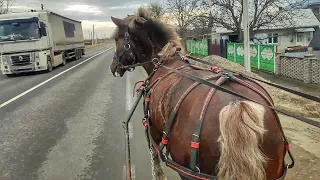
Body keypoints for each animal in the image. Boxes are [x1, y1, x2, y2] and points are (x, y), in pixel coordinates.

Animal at [109, 7, 288, 180]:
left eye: (117, 39)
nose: (113, 67)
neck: (165, 60)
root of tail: (238, 106)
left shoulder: (152, 128)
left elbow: (154, 156)